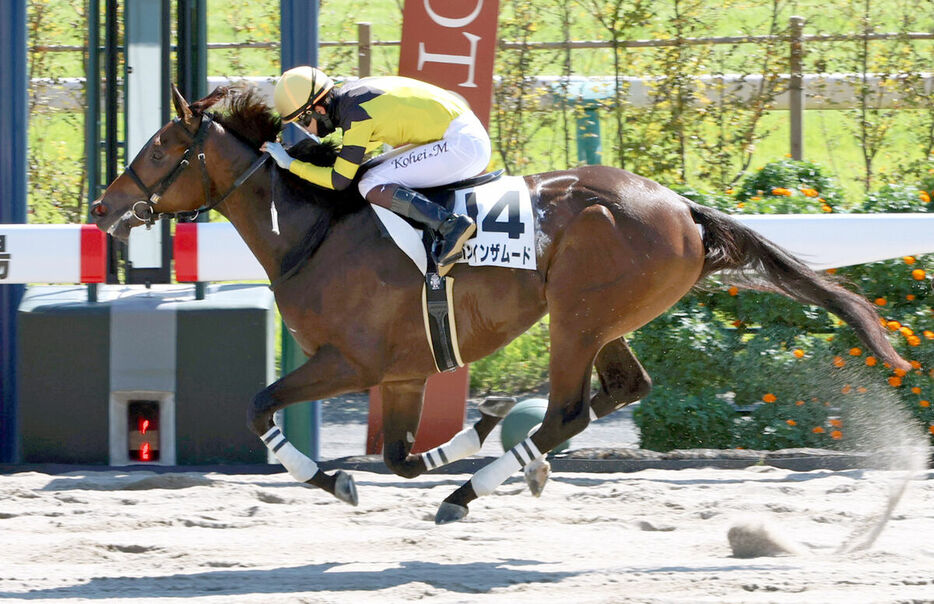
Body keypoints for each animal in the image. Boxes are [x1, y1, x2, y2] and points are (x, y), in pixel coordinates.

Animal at [89, 85, 916, 524]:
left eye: (160, 148)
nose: (102, 207)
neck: (313, 232)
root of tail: (682, 207)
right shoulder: (403, 371)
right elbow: (399, 457)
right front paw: (471, 428)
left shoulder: (352, 360)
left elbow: (261, 408)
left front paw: (336, 479)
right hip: (607, 317)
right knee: (623, 387)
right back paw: (501, 453)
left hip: (577, 316)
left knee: (570, 411)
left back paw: (470, 490)